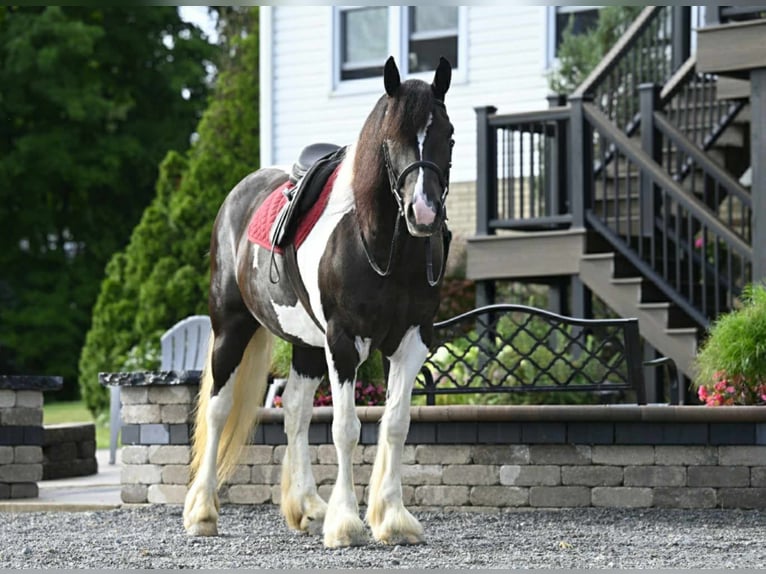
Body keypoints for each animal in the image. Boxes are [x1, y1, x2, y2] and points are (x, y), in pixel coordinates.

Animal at [183, 56, 452, 552]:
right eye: (391, 139)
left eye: (449, 134)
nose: (423, 214)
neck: (378, 243)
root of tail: (237, 196)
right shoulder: (344, 342)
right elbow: (346, 429)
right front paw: (347, 523)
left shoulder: (413, 340)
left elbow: (397, 423)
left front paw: (392, 518)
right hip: (231, 328)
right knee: (217, 407)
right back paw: (202, 513)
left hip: (306, 345)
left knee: (294, 411)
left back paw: (308, 507)